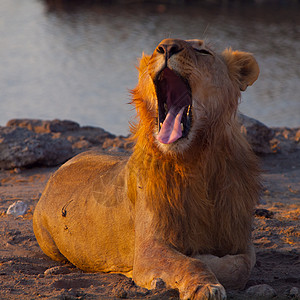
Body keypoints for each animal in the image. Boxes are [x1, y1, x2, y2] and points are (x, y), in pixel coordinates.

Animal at [33, 38, 260, 298]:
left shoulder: (242, 240)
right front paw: (205, 285)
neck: (196, 162)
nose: (168, 46)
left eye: (203, 51)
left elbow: (240, 266)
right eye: (155, 50)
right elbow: (189, 262)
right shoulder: (148, 247)